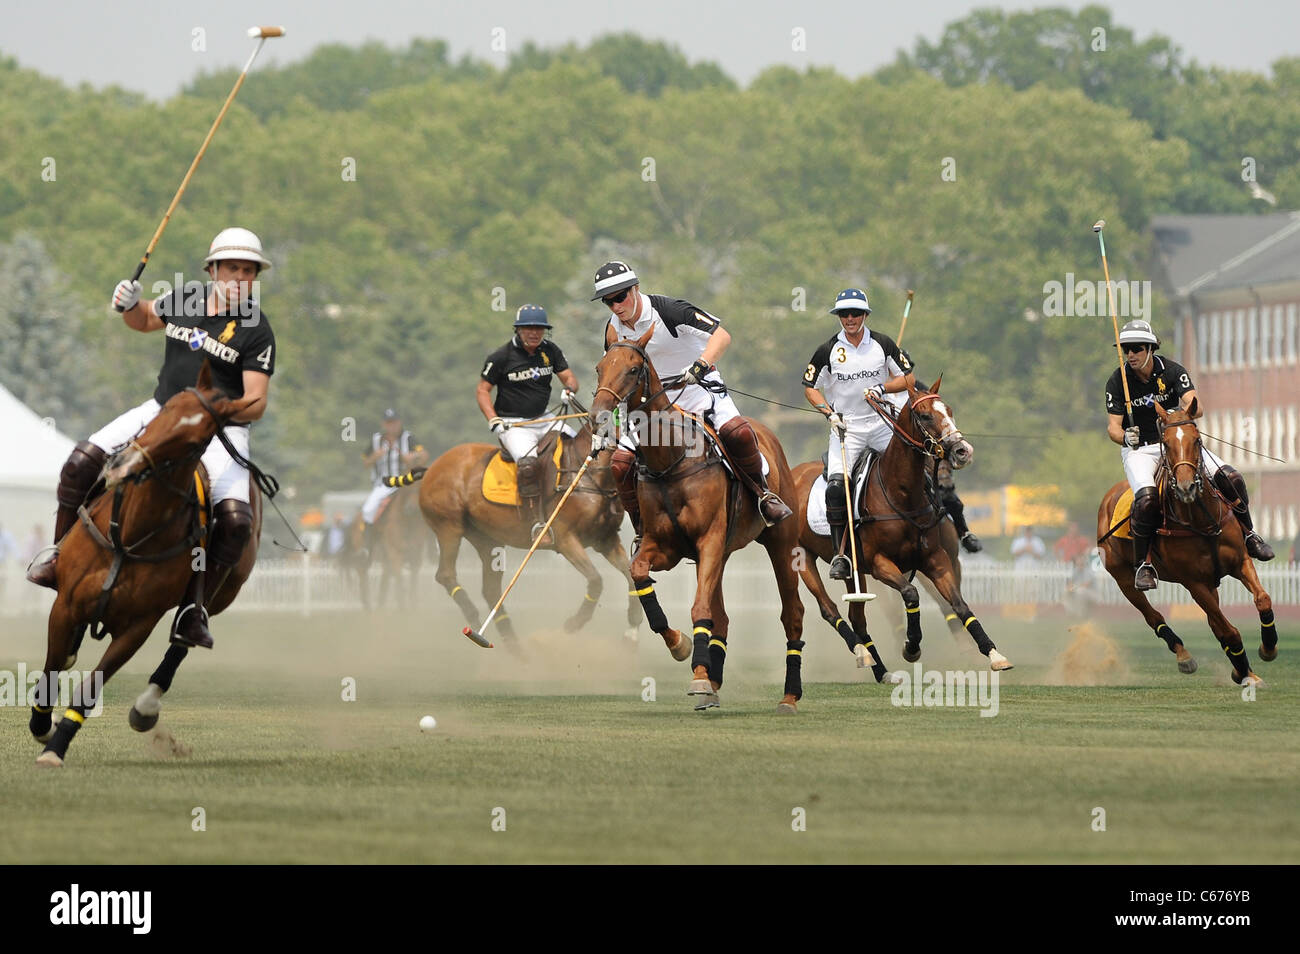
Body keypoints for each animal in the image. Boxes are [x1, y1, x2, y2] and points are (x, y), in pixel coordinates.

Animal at [31, 361, 261, 764]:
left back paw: (146, 707)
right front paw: (43, 728)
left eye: (196, 439)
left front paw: (55, 748)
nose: (121, 466)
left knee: (185, 636)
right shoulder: (65, 605)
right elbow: (51, 670)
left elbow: (91, 689)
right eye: (163, 413)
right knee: (79, 464)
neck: (132, 533)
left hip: (222, 592)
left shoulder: (138, 626)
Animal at [416, 408, 639, 647]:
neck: (590, 472)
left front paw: (632, 631)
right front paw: (573, 624)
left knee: (491, 589)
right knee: (445, 574)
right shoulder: (566, 539)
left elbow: (630, 576)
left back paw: (513, 645)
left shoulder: (606, 539)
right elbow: (596, 580)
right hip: (448, 526)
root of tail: (431, 468)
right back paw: (475, 620)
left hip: (486, 538)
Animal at [595, 327, 806, 712]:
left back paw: (789, 695)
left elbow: (699, 609)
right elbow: (640, 575)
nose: (599, 415)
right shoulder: (664, 547)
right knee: (721, 616)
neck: (670, 459)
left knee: (792, 613)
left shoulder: (708, 539)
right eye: (600, 368)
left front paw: (697, 676)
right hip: (721, 553)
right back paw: (713, 679)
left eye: (632, 369)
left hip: (780, 541)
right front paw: (680, 646)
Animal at [847, 379, 1008, 670]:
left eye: (950, 411)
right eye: (925, 416)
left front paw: (986, 652)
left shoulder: (941, 559)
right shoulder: (879, 562)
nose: (963, 452)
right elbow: (910, 595)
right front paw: (910, 645)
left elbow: (956, 603)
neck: (902, 496)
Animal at [1102, 397, 1274, 686]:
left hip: (1211, 580)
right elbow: (1230, 630)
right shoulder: (1193, 582)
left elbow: (1262, 599)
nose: (1186, 488)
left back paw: (1243, 669)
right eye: (1166, 442)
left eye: (1196, 439)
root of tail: (1110, 494)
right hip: (1123, 578)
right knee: (1153, 616)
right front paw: (1247, 668)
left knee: (1229, 475)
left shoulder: (1240, 562)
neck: (1202, 521)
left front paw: (1267, 649)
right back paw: (1185, 656)